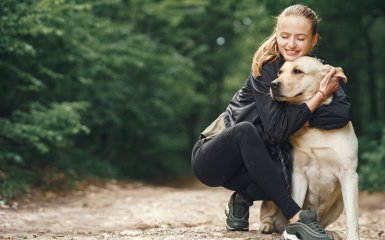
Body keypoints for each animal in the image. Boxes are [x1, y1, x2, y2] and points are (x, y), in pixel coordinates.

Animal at [260, 56, 358, 240]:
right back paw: (268, 226)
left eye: (298, 71)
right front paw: (291, 231)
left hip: (339, 203)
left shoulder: (349, 175)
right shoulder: (298, 174)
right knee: (268, 214)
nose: (273, 84)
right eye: (280, 72)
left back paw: (328, 232)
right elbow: (296, 204)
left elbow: (352, 218)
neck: (315, 129)